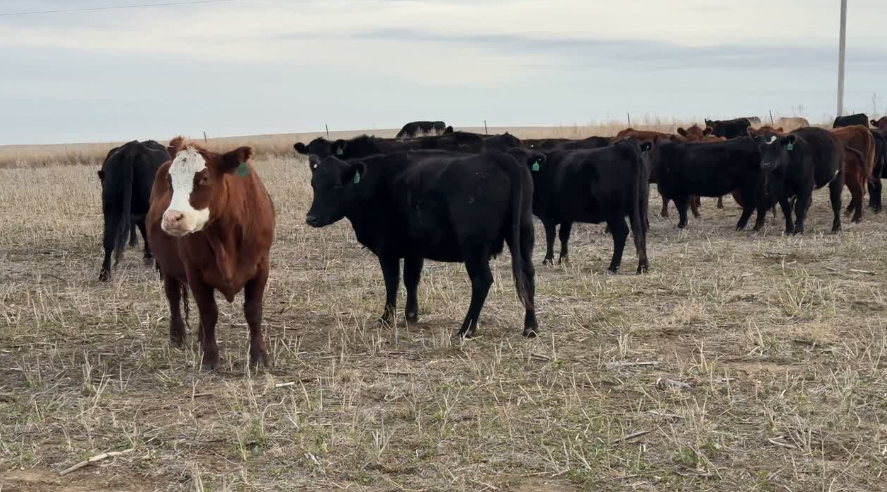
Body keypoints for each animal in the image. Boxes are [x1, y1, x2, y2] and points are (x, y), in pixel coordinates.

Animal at [147, 137, 276, 370]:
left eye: (204, 178)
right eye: (170, 181)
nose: (172, 218)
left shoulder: (261, 266)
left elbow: (253, 311)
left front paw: (259, 356)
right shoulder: (194, 271)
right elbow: (208, 312)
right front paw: (210, 357)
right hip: (167, 267)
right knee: (173, 297)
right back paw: (177, 335)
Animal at [305, 150, 538, 339]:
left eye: (335, 185)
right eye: (313, 184)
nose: (311, 218)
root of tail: (498, 157)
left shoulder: (387, 250)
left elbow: (392, 282)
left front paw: (386, 319)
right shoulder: (414, 250)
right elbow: (411, 280)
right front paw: (411, 315)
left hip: (474, 247)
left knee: (482, 281)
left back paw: (466, 329)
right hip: (523, 236)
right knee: (528, 274)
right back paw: (530, 327)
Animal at [526, 139, 650, 274]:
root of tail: (626, 147)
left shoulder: (548, 215)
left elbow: (550, 237)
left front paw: (548, 260)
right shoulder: (567, 216)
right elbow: (563, 236)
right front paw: (563, 259)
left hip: (614, 212)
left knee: (621, 232)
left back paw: (613, 267)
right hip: (640, 206)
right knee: (640, 231)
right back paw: (643, 266)